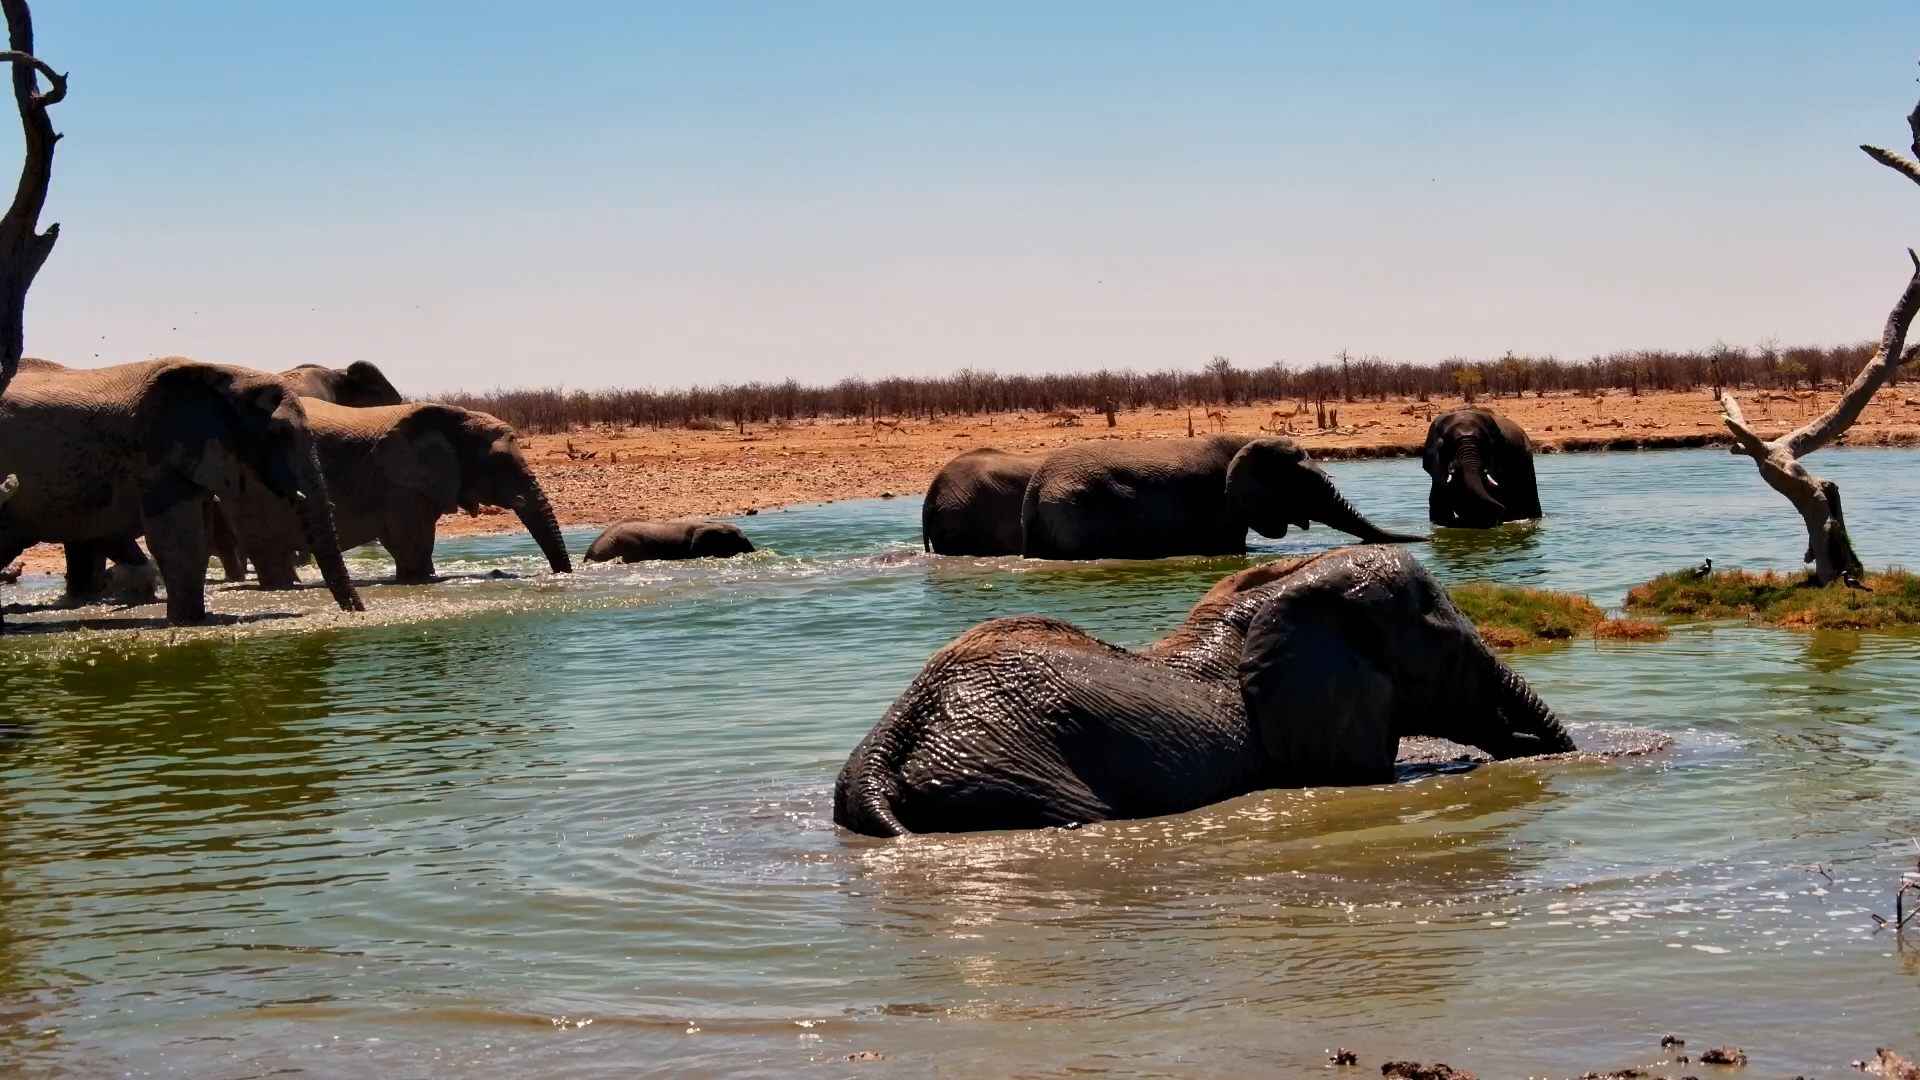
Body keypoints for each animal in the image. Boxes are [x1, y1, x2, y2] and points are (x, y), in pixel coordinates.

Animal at [0, 357, 364, 623]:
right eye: (279, 433)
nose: (357, 613)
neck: (224, 374)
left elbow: (197, 541)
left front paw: (192, 618)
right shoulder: (159, 456)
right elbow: (179, 541)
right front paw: (187, 622)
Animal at [223, 398, 571, 585]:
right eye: (498, 462)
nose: (561, 575)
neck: (454, 415)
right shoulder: (398, 487)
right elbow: (411, 545)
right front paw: (420, 581)